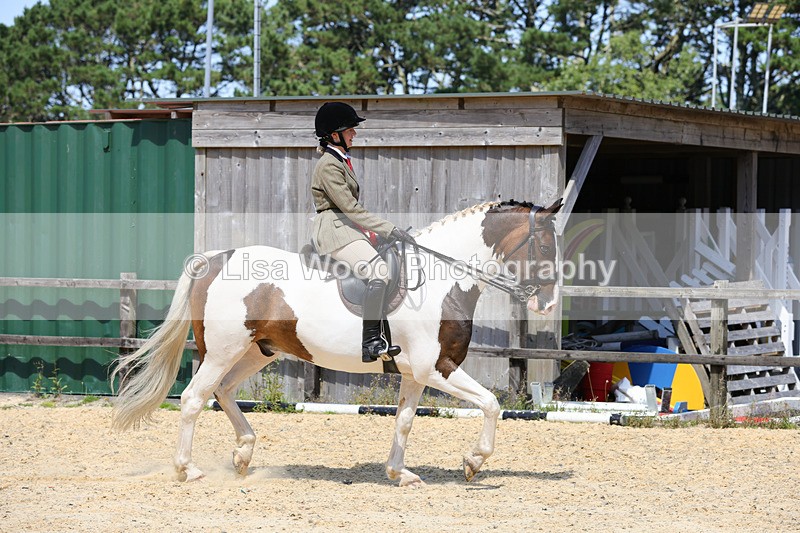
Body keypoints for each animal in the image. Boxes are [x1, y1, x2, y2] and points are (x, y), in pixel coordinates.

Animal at [110, 198, 563, 486]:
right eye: (544, 245)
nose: (548, 303)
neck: (441, 280)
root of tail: (217, 258)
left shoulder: (415, 373)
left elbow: (405, 420)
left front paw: (399, 474)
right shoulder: (436, 368)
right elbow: (491, 404)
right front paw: (472, 462)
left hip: (256, 351)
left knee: (222, 392)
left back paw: (243, 454)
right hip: (223, 351)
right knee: (193, 399)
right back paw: (188, 469)